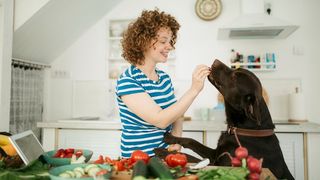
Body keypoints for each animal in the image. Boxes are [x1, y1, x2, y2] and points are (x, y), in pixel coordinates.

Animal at [155, 59, 296, 180]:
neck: (241, 130)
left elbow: (191, 158)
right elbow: (192, 141)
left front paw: (163, 152)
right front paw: (170, 138)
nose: (215, 60)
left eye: (234, 77)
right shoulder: (215, 154)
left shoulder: (219, 163)